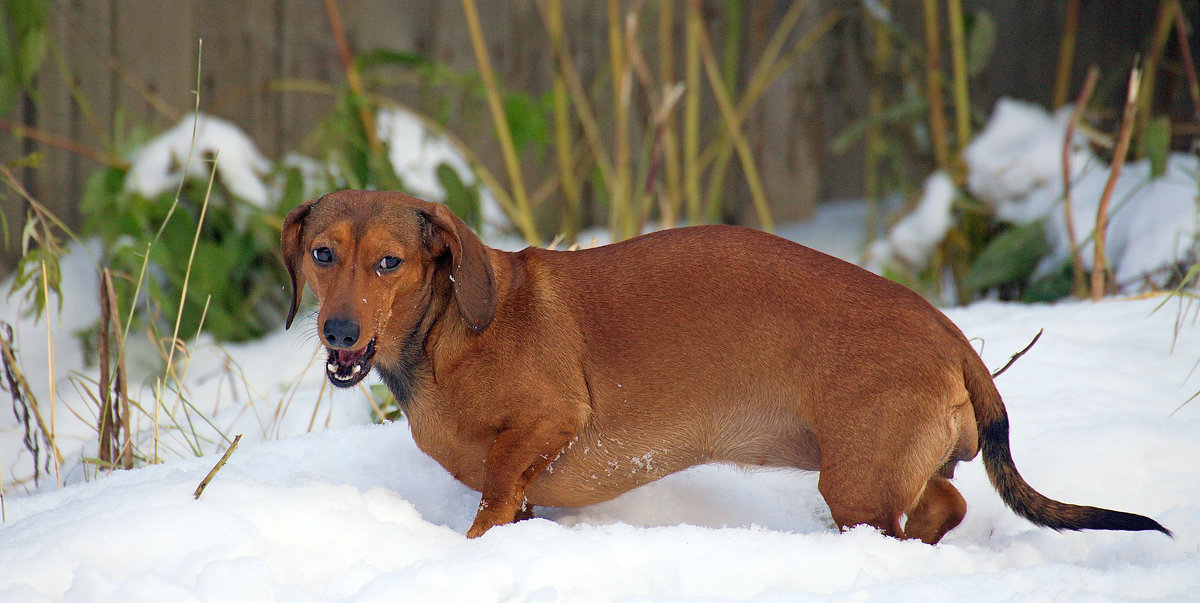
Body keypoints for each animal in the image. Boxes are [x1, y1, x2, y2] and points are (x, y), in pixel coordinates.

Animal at [283, 192, 1171, 542]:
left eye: (391, 262)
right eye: (322, 253)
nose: (338, 330)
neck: (451, 333)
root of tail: (951, 336)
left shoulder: (549, 422)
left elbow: (497, 489)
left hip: (853, 480)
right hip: (882, 473)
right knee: (945, 502)